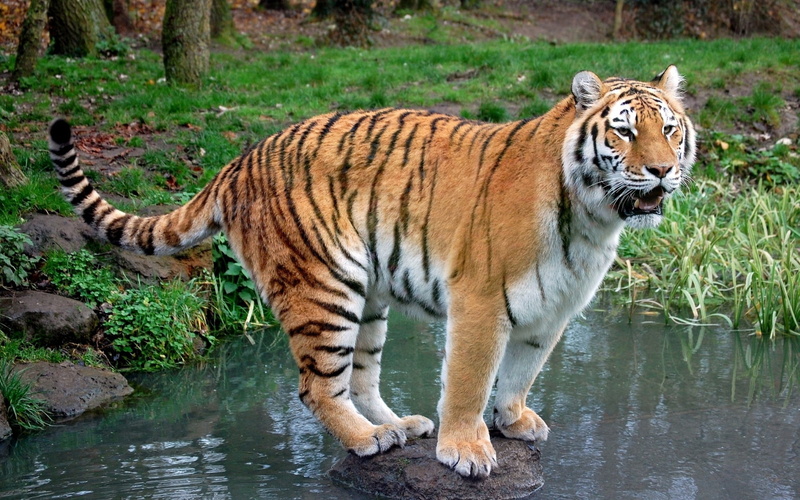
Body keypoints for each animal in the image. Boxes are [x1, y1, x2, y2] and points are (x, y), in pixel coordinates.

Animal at [48, 65, 695, 478]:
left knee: (359, 378)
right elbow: (470, 380)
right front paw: (467, 450)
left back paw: (400, 426)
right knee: (316, 386)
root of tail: (238, 160)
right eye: (623, 131)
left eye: (669, 128)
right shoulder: (481, 301)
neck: (593, 218)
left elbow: (520, 373)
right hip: (323, 287)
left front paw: (512, 422)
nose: (662, 171)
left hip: (369, 297)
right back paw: (367, 440)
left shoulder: (553, 309)